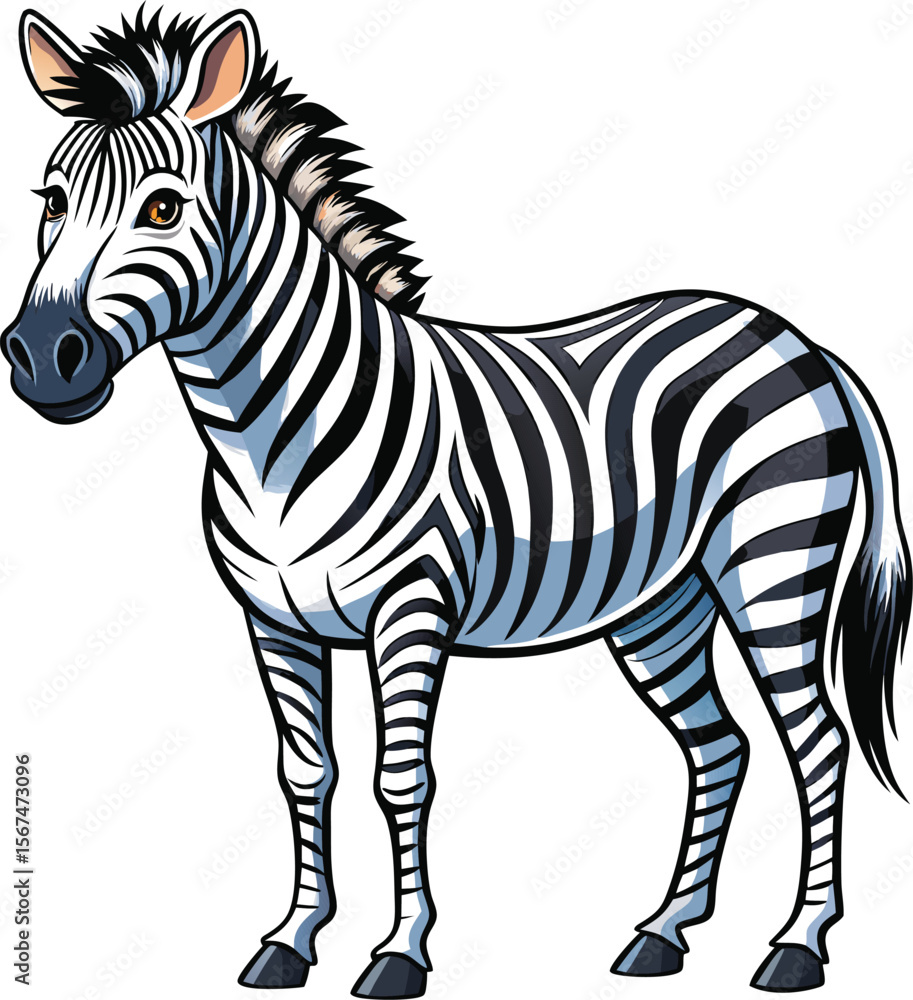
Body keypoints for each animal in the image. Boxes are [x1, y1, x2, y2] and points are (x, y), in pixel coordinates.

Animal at [2, 8, 909, 996]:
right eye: (50, 200)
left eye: (162, 208)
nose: (41, 358)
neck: (267, 436)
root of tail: (794, 336)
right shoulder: (272, 622)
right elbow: (304, 772)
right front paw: (290, 940)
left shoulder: (411, 607)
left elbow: (400, 776)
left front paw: (399, 953)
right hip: (660, 604)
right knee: (721, 745)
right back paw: (663, 932)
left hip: (771, 565)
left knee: (814, 743)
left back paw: (797, 944)